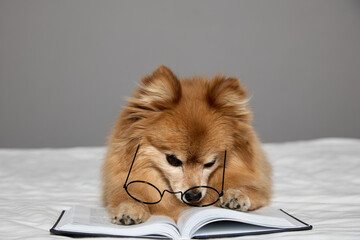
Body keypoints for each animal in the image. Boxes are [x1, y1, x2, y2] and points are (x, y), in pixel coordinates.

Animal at [102, 65, 272, 225]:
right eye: (173, 160)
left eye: (210, 163)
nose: (193, 195)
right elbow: (127, 196)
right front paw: (128, 209)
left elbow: (250, 189)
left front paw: (236, 194)